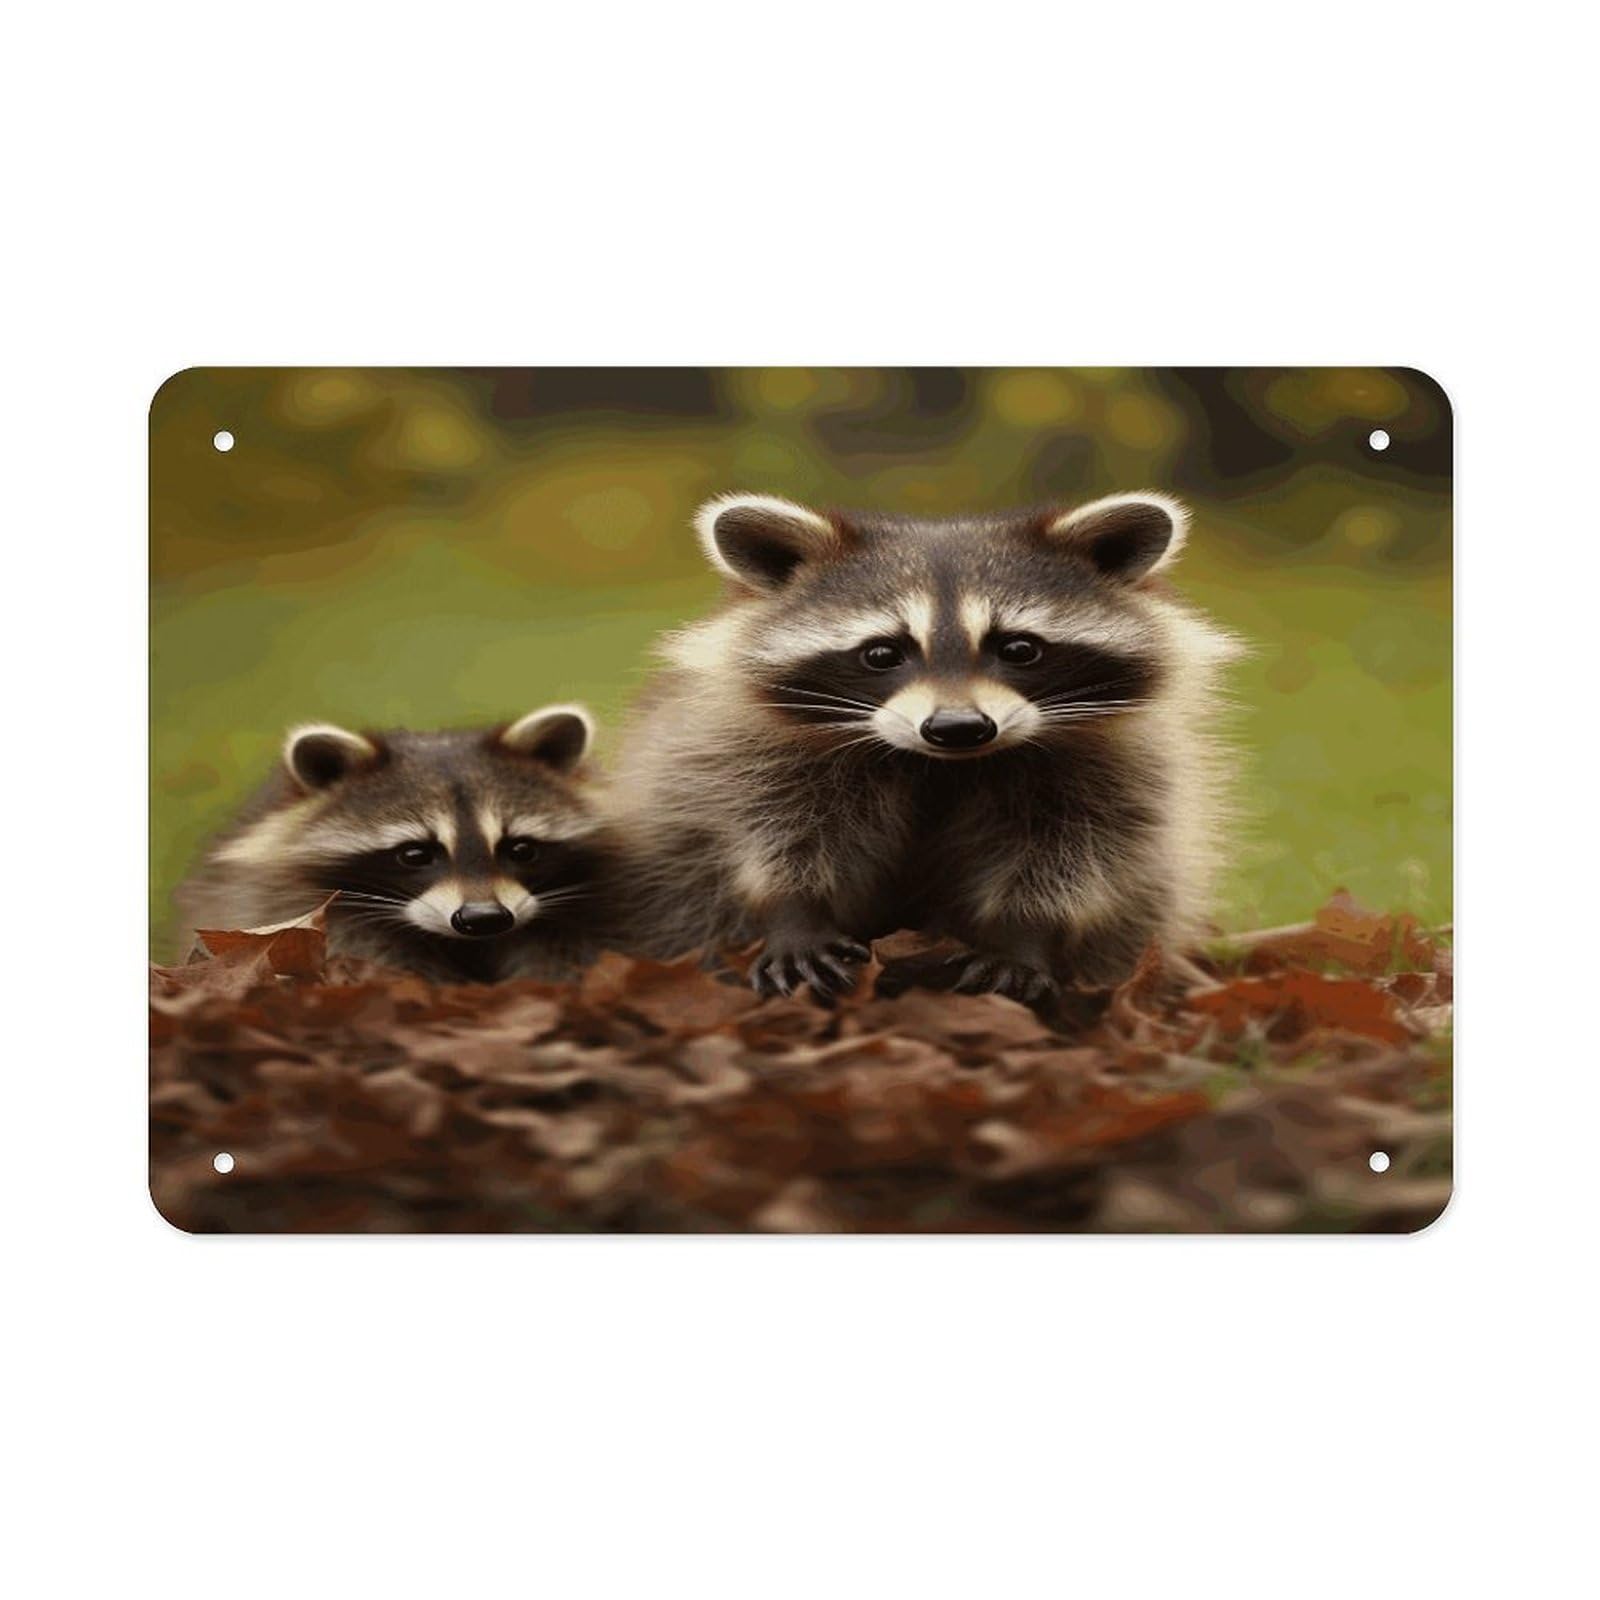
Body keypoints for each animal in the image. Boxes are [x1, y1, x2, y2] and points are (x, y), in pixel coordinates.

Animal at [611, 492, 1239, 1002]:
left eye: (1019, 649)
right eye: (882, 653)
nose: (958, 728)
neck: (939, 766)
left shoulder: (1110, 762)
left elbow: (1073, 851)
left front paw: (1023, 935)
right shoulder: (748, 750)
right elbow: (774, 830)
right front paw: (795, 913)